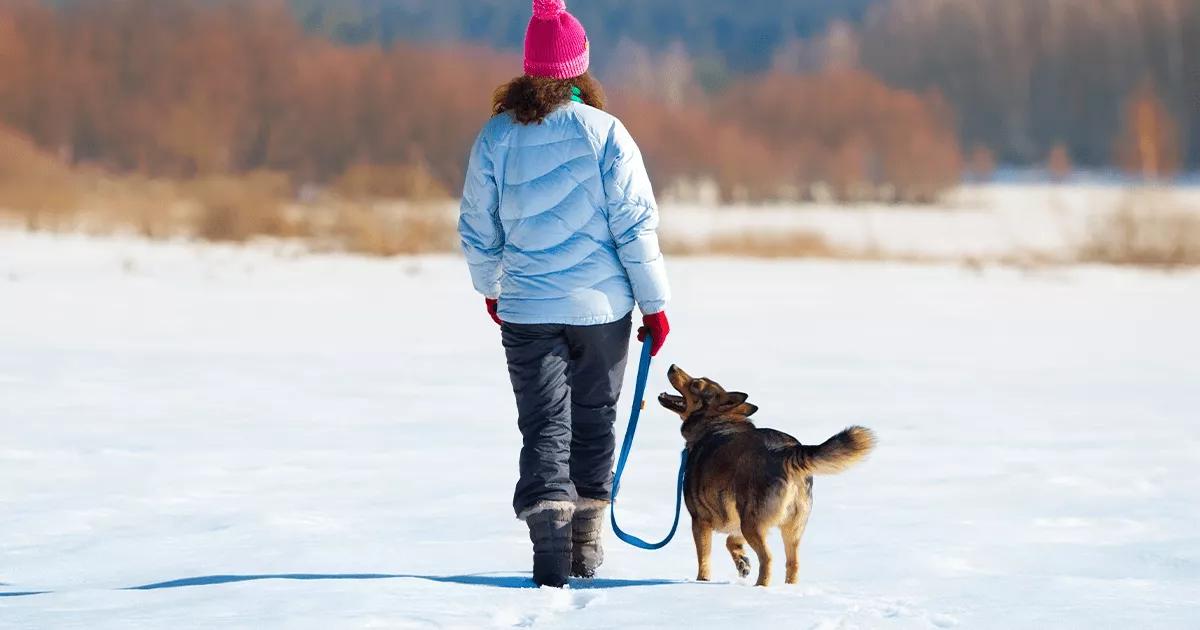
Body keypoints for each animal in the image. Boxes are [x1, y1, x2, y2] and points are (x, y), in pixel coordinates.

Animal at [662, 362, 878, 585]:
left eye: (696, 384)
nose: (672, 366)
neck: (716, 421)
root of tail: (788, 451)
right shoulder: (739, 520)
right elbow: (731, 540)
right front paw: (742, 562)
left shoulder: (700, 520)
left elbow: (704, 558)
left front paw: (702, 581)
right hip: (789, 527)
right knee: (793, 563)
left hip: (752, 522)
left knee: (768, 558)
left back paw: (760, 587)